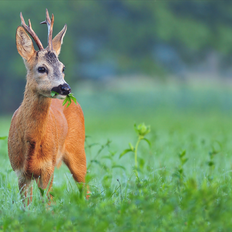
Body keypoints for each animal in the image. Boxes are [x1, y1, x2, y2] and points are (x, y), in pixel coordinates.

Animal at [7, 9, 87, 205]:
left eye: (63, 67)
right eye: (41, 68)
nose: (65, 88)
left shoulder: (48, 168)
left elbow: (48, 206)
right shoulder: (20, 172)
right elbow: (26, 207)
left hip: (78, 150)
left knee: (86, 186)